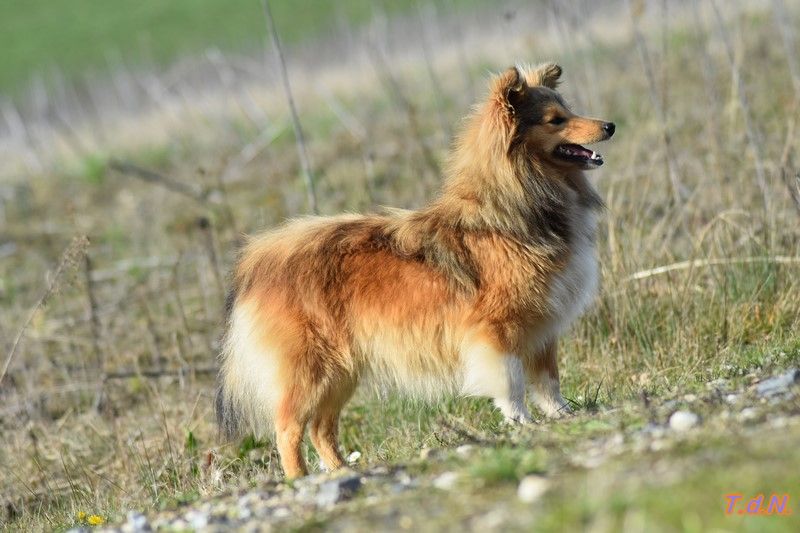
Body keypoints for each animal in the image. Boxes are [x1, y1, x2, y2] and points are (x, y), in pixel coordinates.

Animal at [216, 62, 615, 478]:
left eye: (567, 110)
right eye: (556, 120)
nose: (610, 126)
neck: (511, 212)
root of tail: (258, 260)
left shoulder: (542, 330)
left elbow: (549, 382)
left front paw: (565, 416)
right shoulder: (497, 331)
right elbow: (511, 384)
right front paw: (522, 424)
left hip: (340, 372)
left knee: (321, 428)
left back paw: (342, 470)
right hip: (310, 370)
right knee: (288, 429)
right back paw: (298, 479)